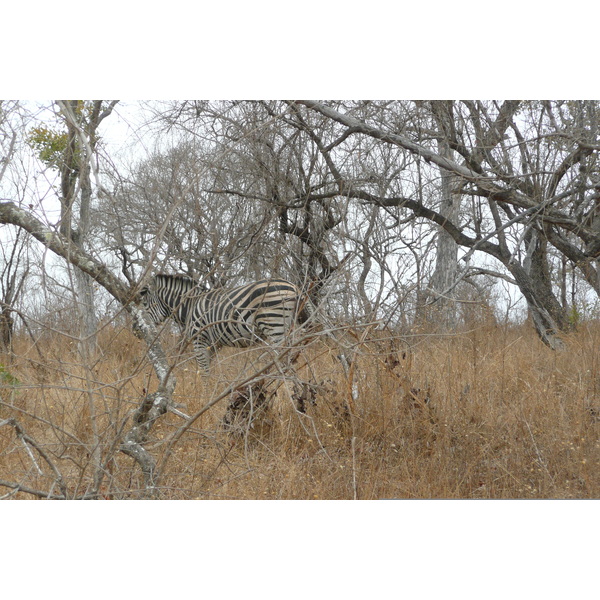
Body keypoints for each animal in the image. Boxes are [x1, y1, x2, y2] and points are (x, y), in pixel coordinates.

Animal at [139, 274, 312, 370]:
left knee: (285, 359)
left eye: (144, 304)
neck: (190, 306)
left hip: (274, 324)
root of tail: (295, 287)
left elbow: (203, 369)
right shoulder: (214, 344)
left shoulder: (199, 339)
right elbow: (210, 368)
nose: (136, 330)